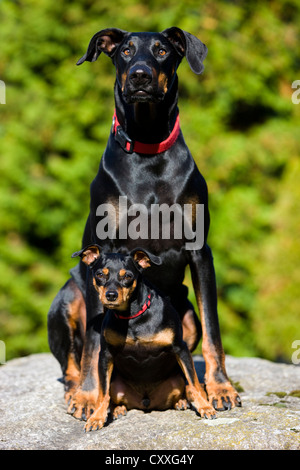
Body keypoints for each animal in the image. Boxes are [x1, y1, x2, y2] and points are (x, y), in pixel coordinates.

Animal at [72, 246, 218, 434]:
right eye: (99, 274)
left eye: (128, 276)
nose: (111, 295)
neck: (132, 317)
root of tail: (146, 402)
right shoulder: (105, 355)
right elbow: (102, 392)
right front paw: (97, 417)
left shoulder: (181, 348)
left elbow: (194, 383)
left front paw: (205, 407)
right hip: (116, 384)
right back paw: (117, 409)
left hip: (176, 380)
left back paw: (181, 402)